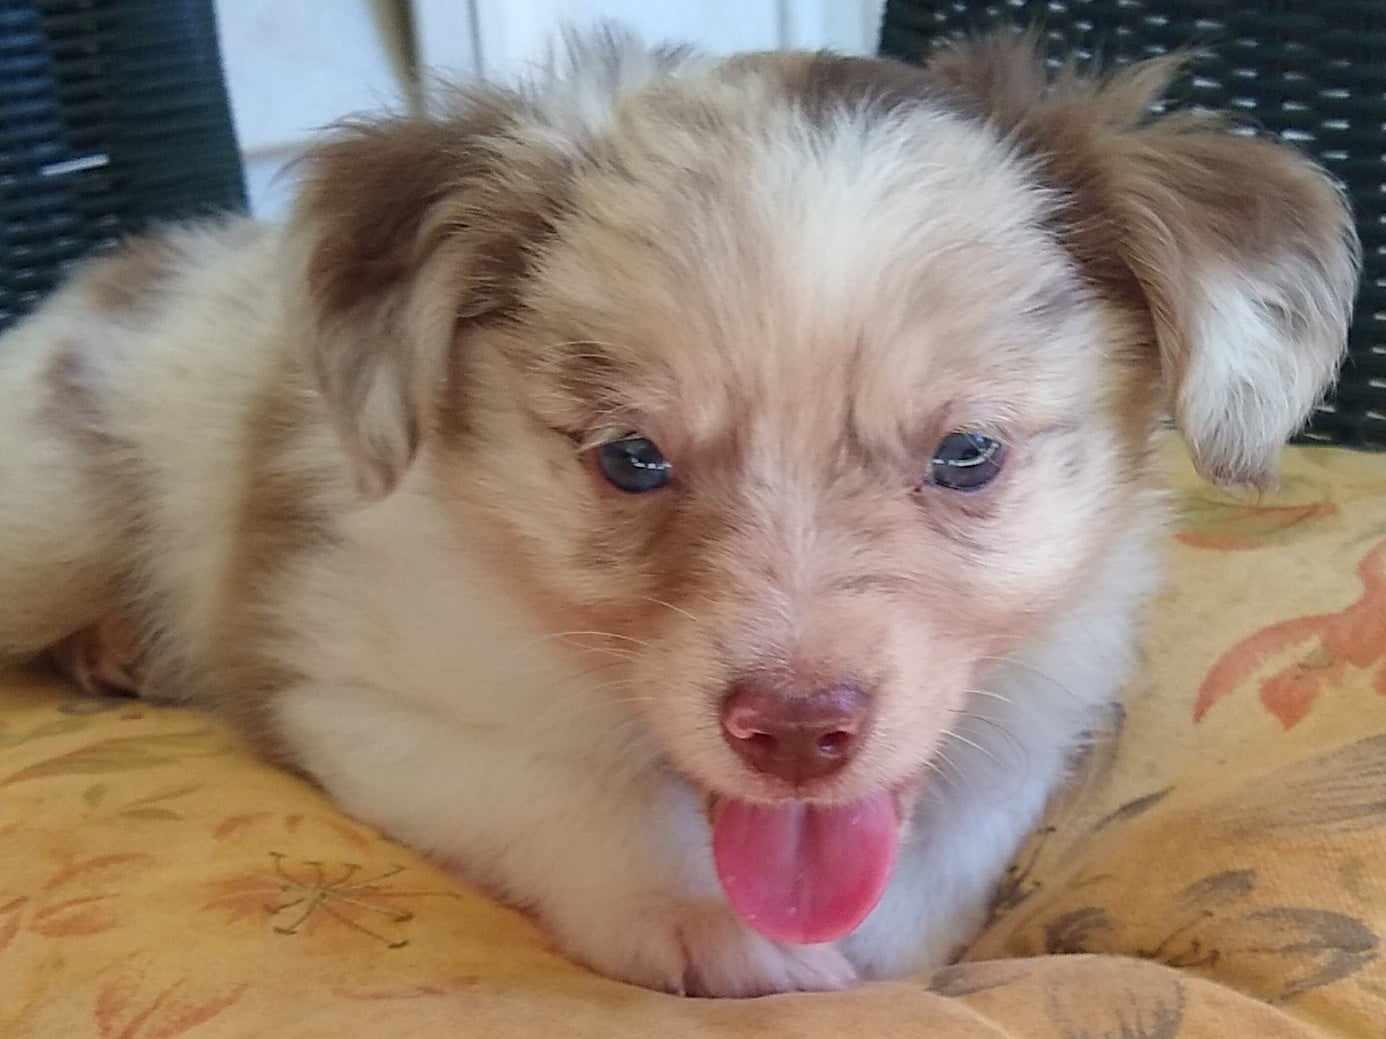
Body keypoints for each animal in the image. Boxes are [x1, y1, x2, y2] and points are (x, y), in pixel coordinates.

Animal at [0, 28, 1358, 997]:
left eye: (968, 453)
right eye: (633, 458)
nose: (798, 732)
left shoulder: (1042, 701)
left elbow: (963, 821)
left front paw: (901, 939)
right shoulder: (345, 696)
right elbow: (562, 792)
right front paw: (694, 912)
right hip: (50, 521)